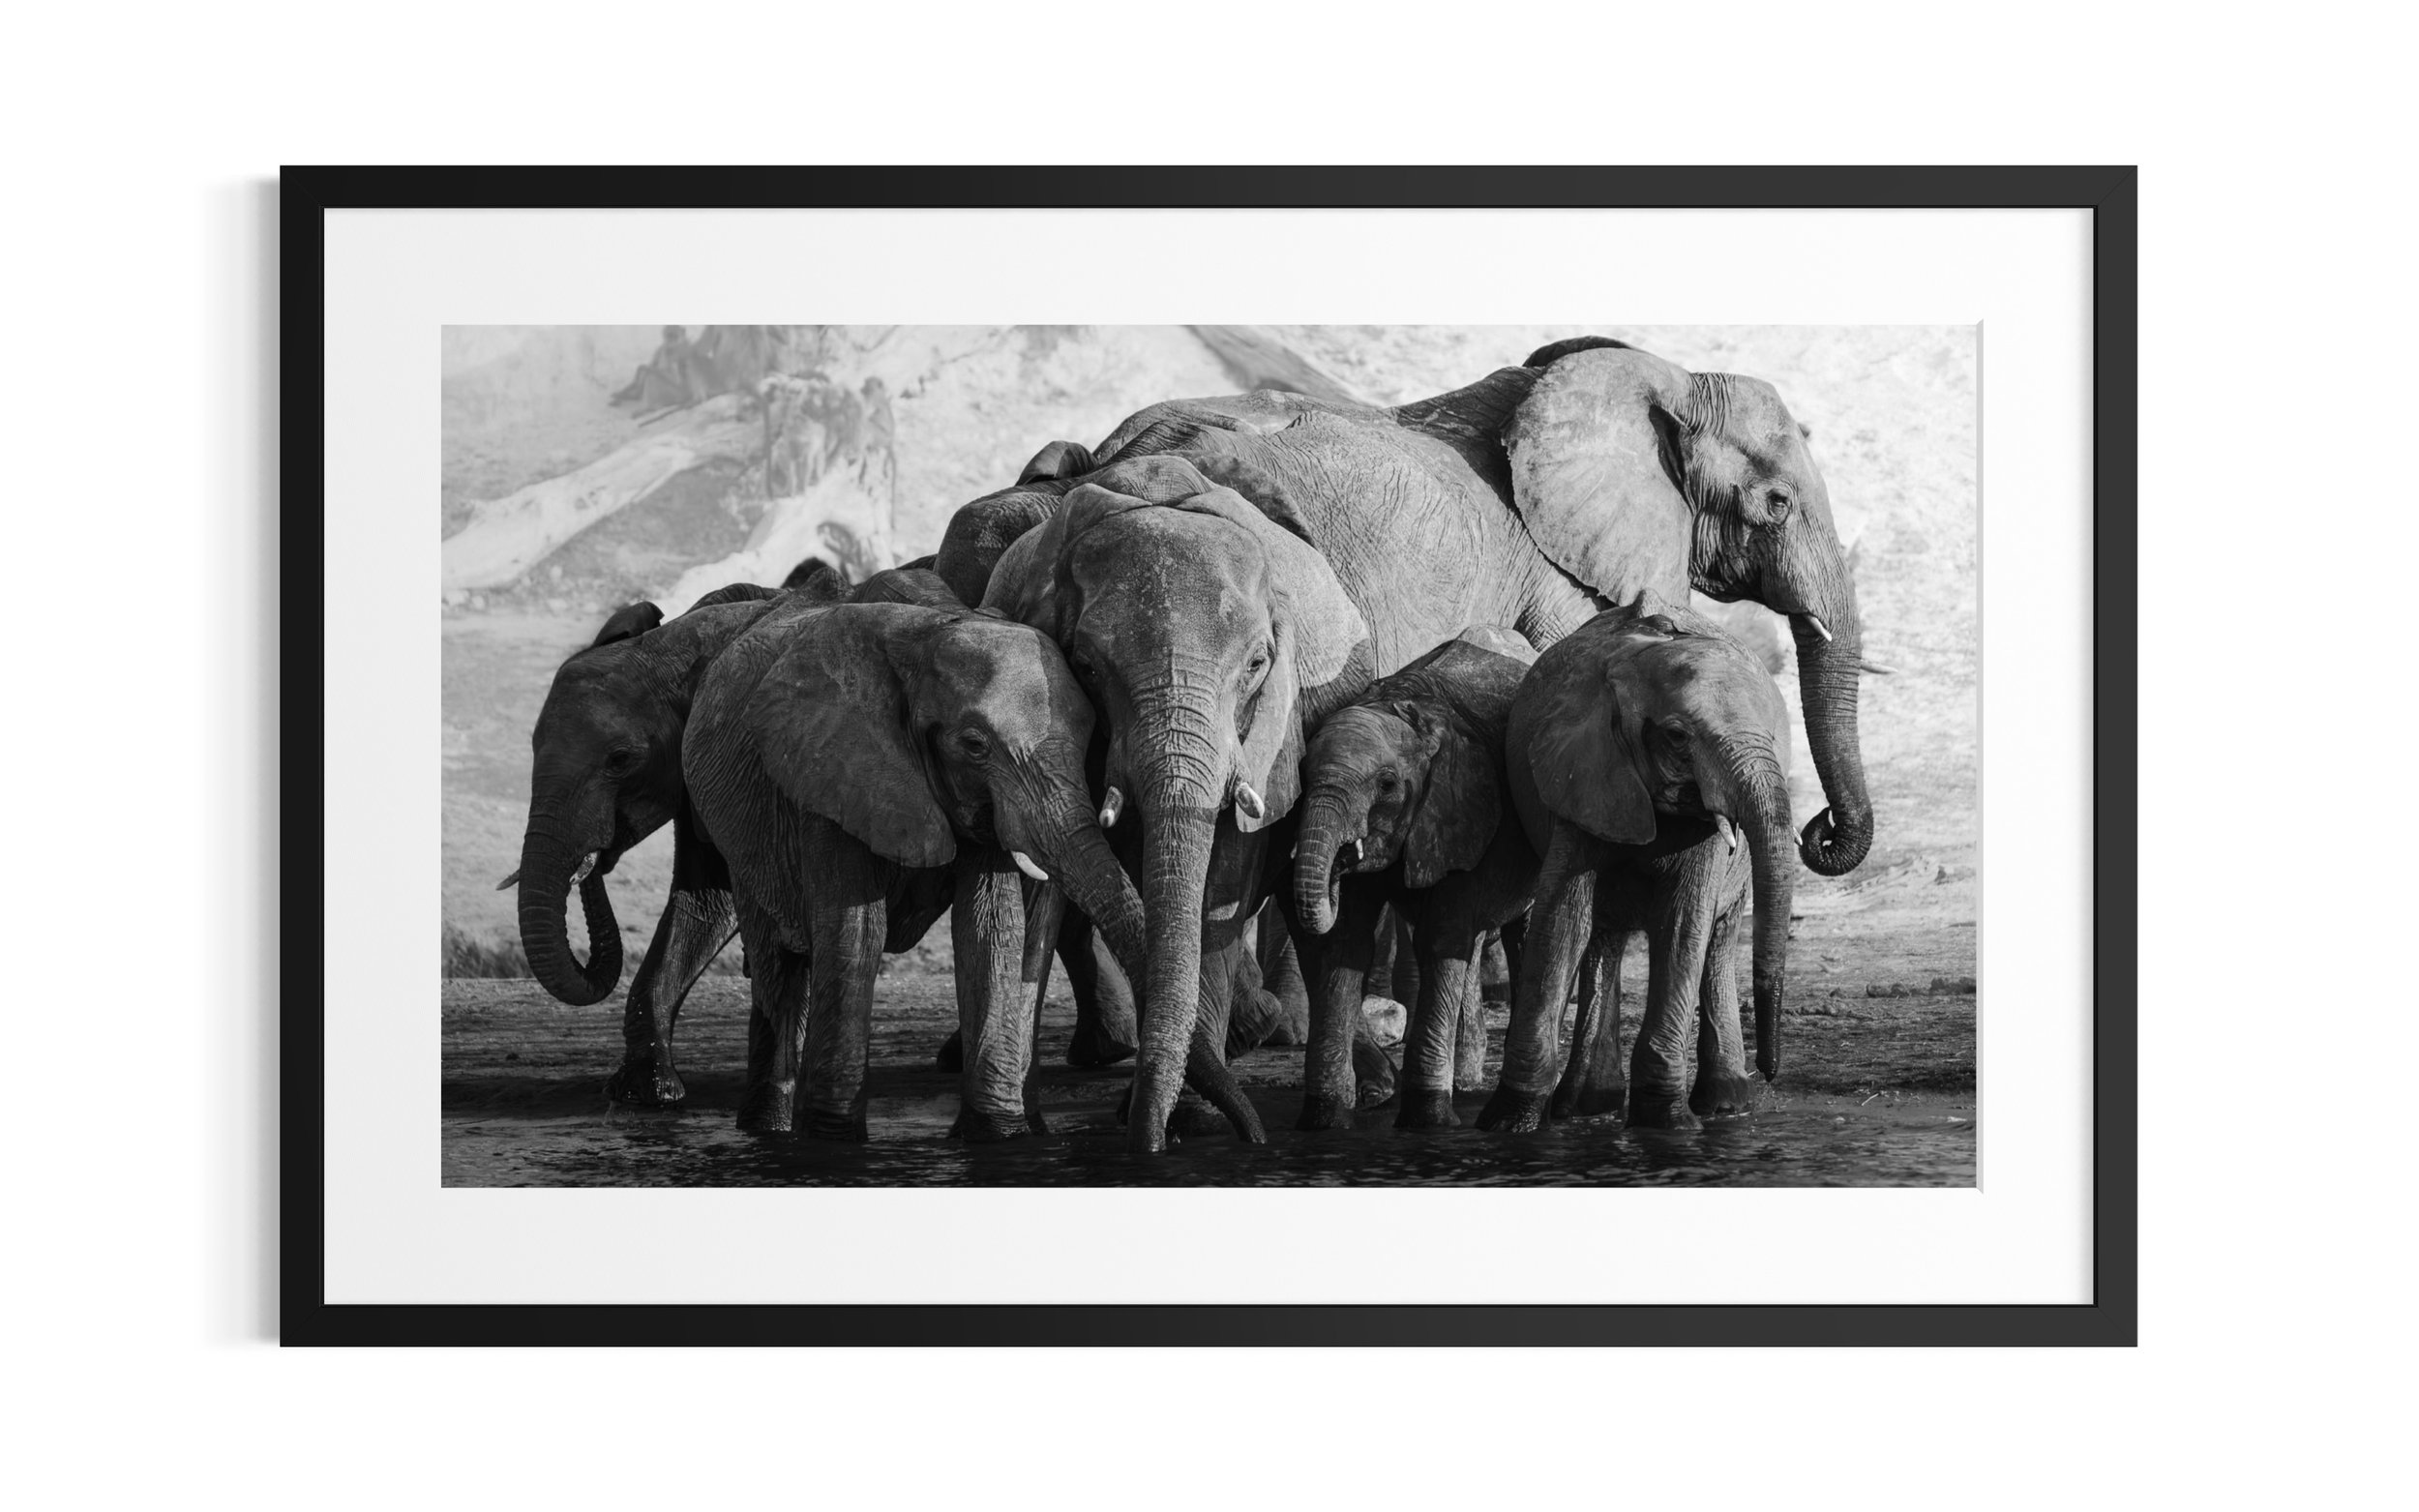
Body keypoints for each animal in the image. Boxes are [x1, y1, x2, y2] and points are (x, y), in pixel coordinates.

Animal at [679, 592, 1257, 1141]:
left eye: (1090, 735)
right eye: (975, 746)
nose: (1254, 1135)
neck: (928, 634)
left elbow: (988, 928)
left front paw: (998, 1134)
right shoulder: (829, 771)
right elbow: (855, 932)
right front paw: (831, 1139)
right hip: (742, 835)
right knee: (777, 961)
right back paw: (768, 1129)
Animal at [981, 453, 1376, 1151]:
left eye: (1257, 663)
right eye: (1085, 665)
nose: (1150, 1149)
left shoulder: (1268, 731)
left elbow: (1226, 869)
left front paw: (1193, 1124)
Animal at [1291, 625, 1542, 1129]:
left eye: (1387, 785)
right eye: (1303, 776)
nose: (1341, 858)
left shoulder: (1461, 810)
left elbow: (1440, 939)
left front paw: (1428, 1121)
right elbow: (1347, 943)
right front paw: (1325, 1120)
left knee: (1522, 930)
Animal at [1477, 594, 1797, 1133]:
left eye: (1775, 736)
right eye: (1677, 736)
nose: (1773, 1070)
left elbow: (1683, 925)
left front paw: (1666, 1123)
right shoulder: (1581, 776)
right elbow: (1562, 921)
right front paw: (1509, 1123)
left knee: (1716, 939)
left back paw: (1726, 1106)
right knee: (1602, 936)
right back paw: (1586, 1106)